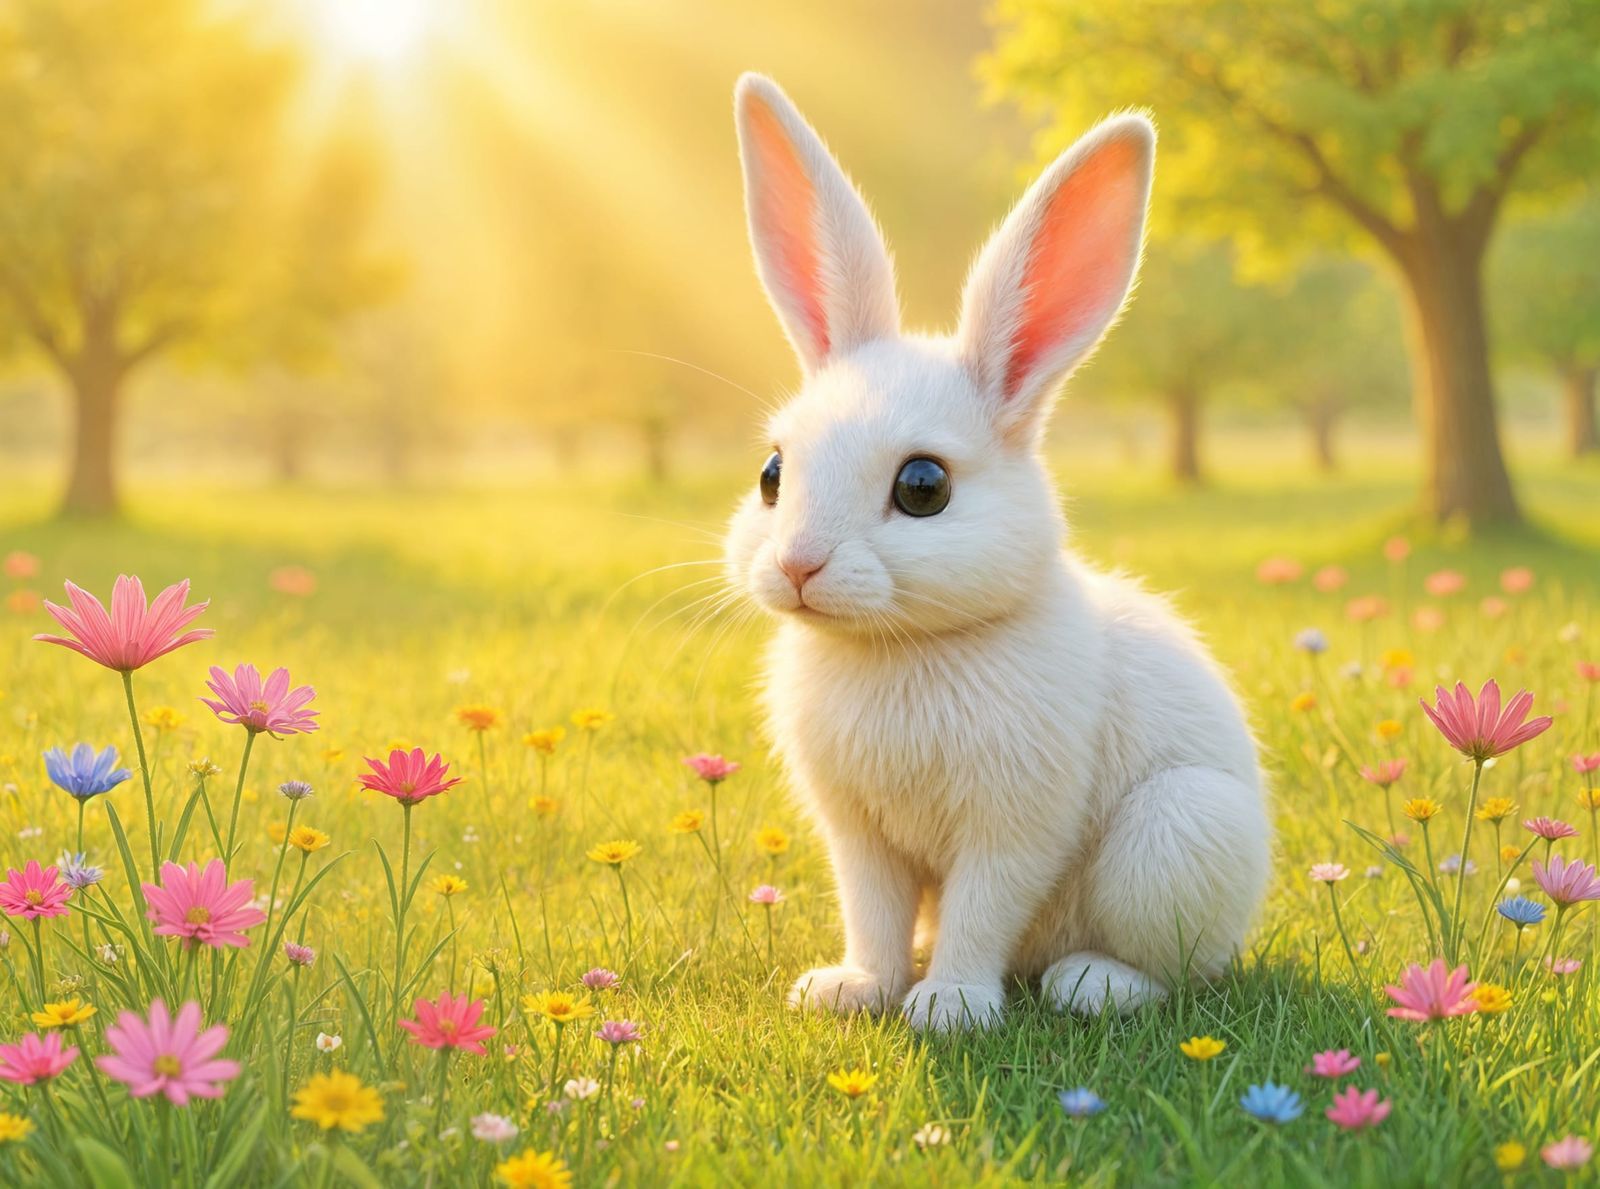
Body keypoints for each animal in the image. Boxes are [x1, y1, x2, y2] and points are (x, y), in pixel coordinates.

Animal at [722, 73, 1271, 1031]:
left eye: (924, 486)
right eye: (773, 471)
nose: (797, 567)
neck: (902, 647)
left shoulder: (1015, 824)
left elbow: (985, 907)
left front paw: (950, 1007)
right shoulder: (859, 836)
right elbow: (871, 909)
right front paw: (855, 987)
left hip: (1179, 834)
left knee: (1179, 970)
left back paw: (1091, 984)